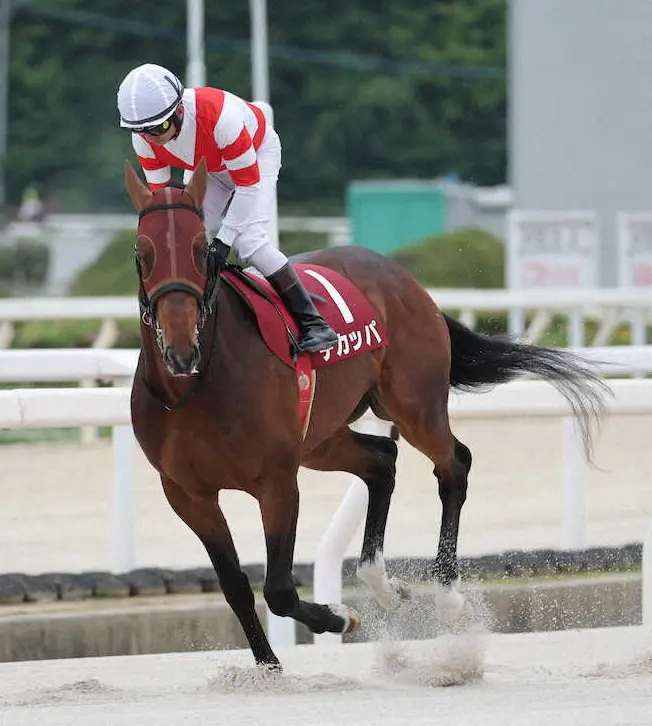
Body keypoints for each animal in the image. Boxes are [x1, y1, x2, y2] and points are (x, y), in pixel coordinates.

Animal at [123, 159, 612, 672]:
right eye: (142, 252)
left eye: (202, 251)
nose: (181, 350)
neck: (197, 387)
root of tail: (404, 278)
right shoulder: (187, 493)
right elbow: (234, 583)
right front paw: (267, 667)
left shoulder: (277, 482)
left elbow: (278, 589)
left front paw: (339, 618)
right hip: (321, 440)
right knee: (381, 459)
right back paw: (384, 584)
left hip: (413, 407)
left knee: (453, 464)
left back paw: (447, 595)